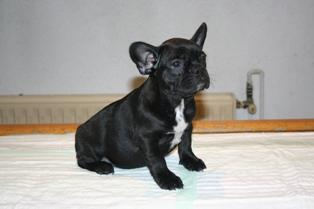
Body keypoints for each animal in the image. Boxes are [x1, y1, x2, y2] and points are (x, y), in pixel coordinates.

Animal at [75, 22, 210, 189]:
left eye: (203, 57)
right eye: (176, 64)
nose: (199, 69)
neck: (178, 102)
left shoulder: (187, 127)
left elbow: (186, 146)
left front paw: (191, 161)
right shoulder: (148, 139)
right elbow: (157, 160)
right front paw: (167, 178)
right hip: (88, 144)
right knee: (83, 160)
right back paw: (101, 166)